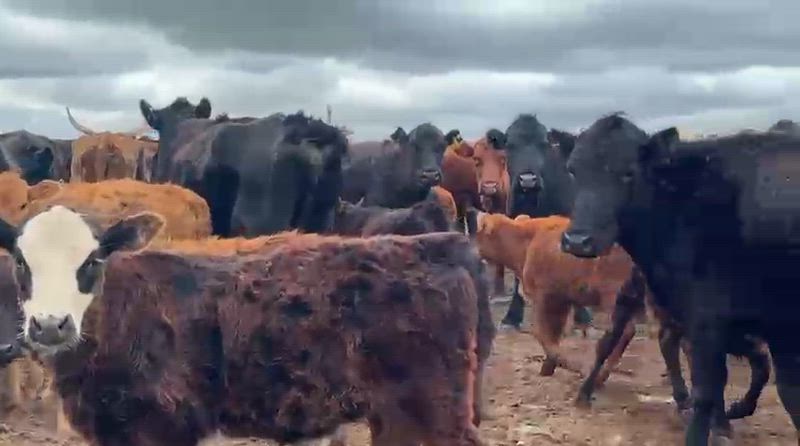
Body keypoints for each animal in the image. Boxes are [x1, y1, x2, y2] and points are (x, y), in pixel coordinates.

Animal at [0, 208, 490, 445]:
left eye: (92, 260)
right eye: (20, 261)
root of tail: (442, 243)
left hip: (431, 410)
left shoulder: (161, 427)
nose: (50, 325)